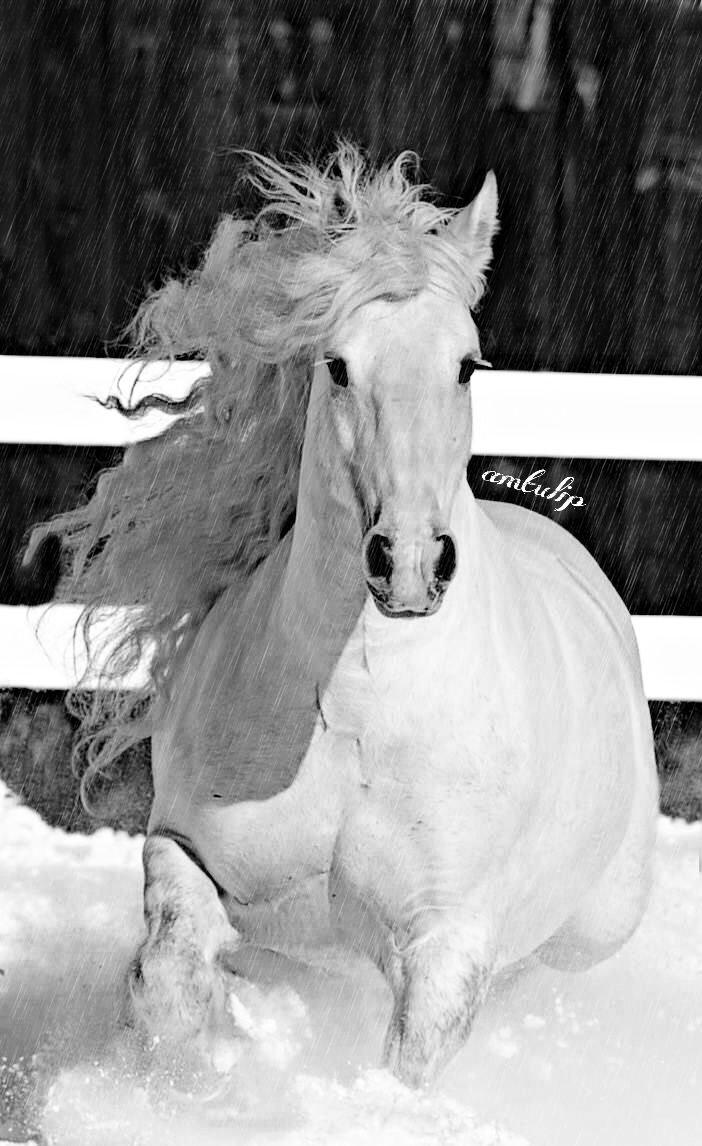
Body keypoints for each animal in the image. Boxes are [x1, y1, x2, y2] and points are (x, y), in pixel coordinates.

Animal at [48, 144, 659, 1090]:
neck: (357, 707)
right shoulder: (185, 853)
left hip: (594, 929)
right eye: (337, 365)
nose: (408, 562)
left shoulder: (447, 944)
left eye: (467, 365)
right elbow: (170, 980)